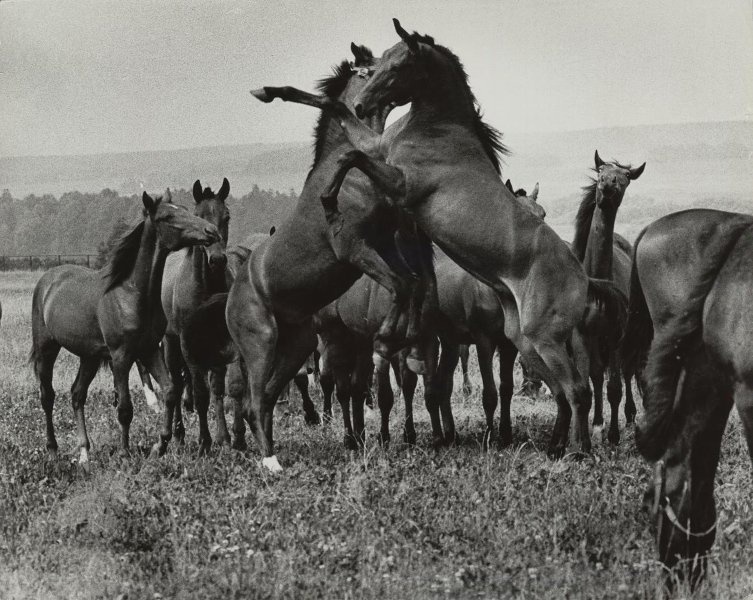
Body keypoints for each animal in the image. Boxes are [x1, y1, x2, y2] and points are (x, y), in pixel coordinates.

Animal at [30, 191, 219, 468]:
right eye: (167, 216)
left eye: (185, 209)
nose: (211, 231)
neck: (131, 293)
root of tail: (48, 280)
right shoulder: (121, 357)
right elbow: (125, 408)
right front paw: (125, 453)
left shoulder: (149, 351)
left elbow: (170, 392)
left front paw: (160, 445)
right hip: (47, 349)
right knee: (47, 396)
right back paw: (53, 452)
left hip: (89, 356)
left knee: (77, 394)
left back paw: (85, 453)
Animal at [222, 44, 434, 472]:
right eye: (372, 68)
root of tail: (230, 299)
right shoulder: (355, 249)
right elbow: (400, 285)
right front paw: (386, 338)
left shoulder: (384, 243)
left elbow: (411, 283)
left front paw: (404, 338)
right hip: (261, 342)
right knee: (255, 399)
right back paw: (270, 461)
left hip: (297, 344)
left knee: (264, 399)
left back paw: (275, 455)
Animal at [250, 21, 624, 458]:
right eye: (379, 61)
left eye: (398, 65)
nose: (363, 104)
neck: (437, 126)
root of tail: (584, 276)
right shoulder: (378, 148)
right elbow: (334, 114)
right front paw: (269, 91)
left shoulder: (400, 182)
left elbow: (349, 156)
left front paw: (328, 201)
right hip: (523, 339)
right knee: (565, 390)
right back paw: (557, 446)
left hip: (544, 336)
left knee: (579, 389)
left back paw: (579, 451)